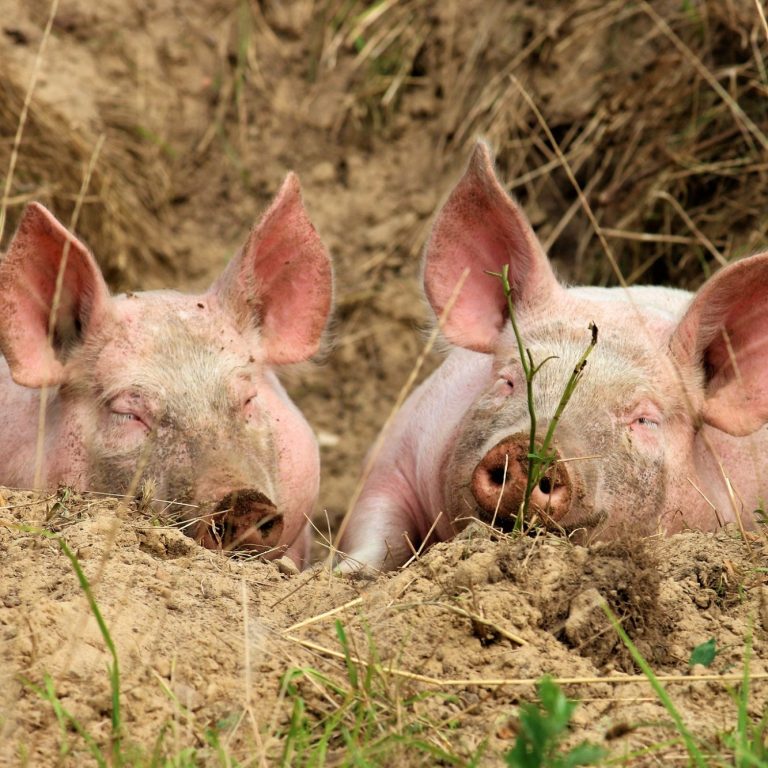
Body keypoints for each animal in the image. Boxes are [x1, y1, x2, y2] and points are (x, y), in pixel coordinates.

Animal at [340, 141, 768, 568]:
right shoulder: (395, 450)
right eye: (507, 381)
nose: (528, 449)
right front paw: (351, 573)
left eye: (645, 419)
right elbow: (377, 527)